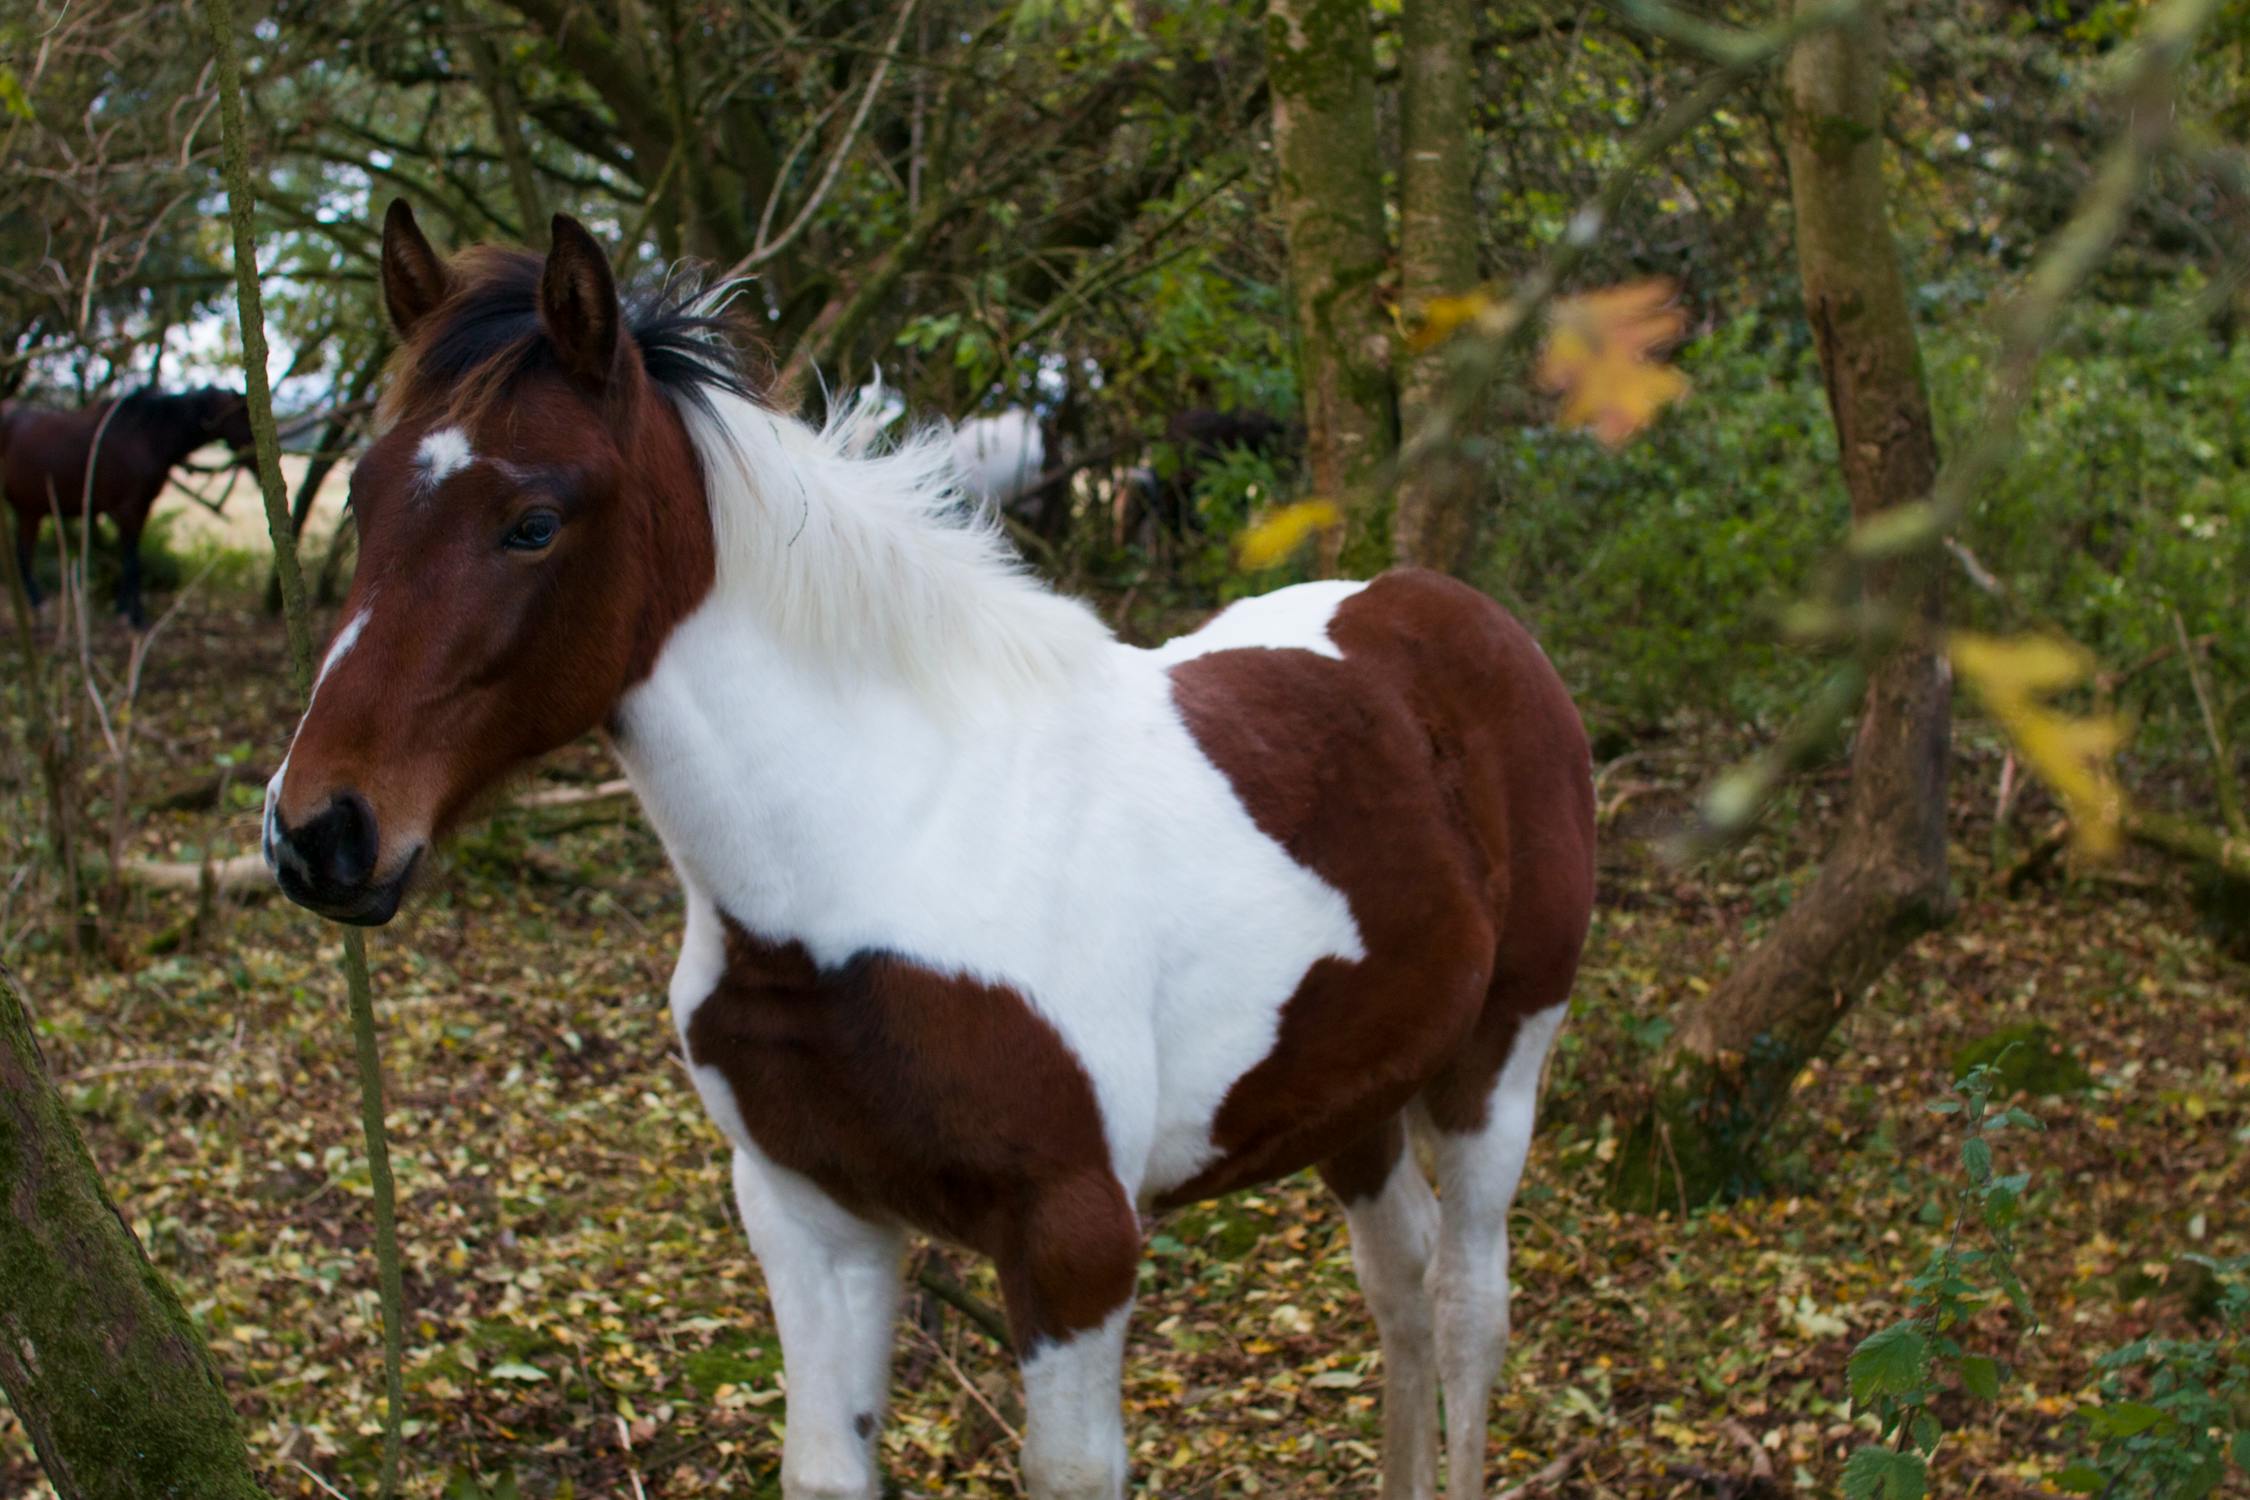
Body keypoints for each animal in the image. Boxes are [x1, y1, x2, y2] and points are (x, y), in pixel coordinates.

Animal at [1, 386, 255, 626]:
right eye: (244, 414)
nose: (254, 460)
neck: (146, 437)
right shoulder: (128, 508)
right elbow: (132, 561)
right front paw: (135, 616)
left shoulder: (142, 507)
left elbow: (129, 558)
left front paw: (123, 608)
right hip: (30, 508)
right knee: (23, 554)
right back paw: (38, 604)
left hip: (29, 509)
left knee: (23, 553)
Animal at [263, 201, 1596, 1500]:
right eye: (363, 497)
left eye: (533, 523)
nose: (319, 832)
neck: (879, 850)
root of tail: (1459, 614)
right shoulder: (809, 1216)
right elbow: (823, 1466)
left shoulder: (1074, 1242)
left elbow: (1068, 1469)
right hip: (1352, 1086)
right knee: (1399, 1286)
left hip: (1498, 1059)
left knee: (1468, 1308)